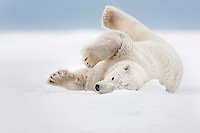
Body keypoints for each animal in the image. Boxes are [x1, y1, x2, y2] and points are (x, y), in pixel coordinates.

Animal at [47, 5, 184, 93]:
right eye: (113, 78)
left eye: (116, 87)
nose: (98, 87)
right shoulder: (130, 54)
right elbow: (120, 40)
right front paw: (88, 59)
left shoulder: (100, 76)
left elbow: (85, 80)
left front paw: (57, 77)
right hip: (155, 41)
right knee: (135, 28)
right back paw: (109, 14)